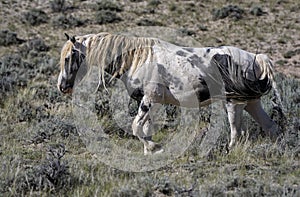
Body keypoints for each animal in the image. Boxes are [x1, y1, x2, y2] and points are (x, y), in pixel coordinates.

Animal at [56, 32, 282, 155]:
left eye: (68, 57)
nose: (62, 86)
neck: (138, 58)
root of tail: (255, 58)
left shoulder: (149, 99)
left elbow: (136, 127)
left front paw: (155, 147)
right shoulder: (153, 102)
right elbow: (145, 128)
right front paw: (149, 152)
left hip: (234, 104)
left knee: (236, 132)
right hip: (252, 103)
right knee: (271, 128)